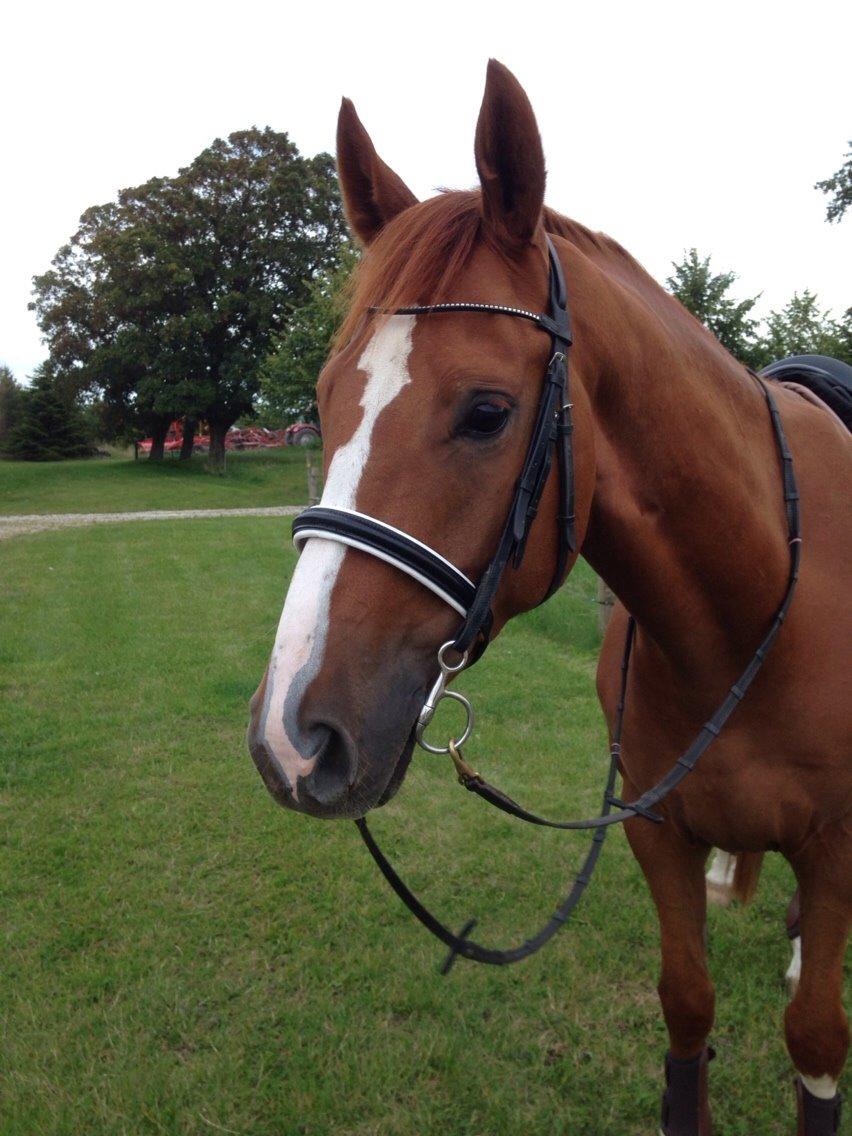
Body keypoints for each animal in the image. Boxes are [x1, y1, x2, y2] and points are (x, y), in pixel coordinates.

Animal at [243, 59, 849, 1136]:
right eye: (320, 400)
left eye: (488, 412)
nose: (293, 735)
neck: (754, 615)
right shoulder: (658, 832)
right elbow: (687, 1011)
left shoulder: (836, 853)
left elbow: (816, 1042)